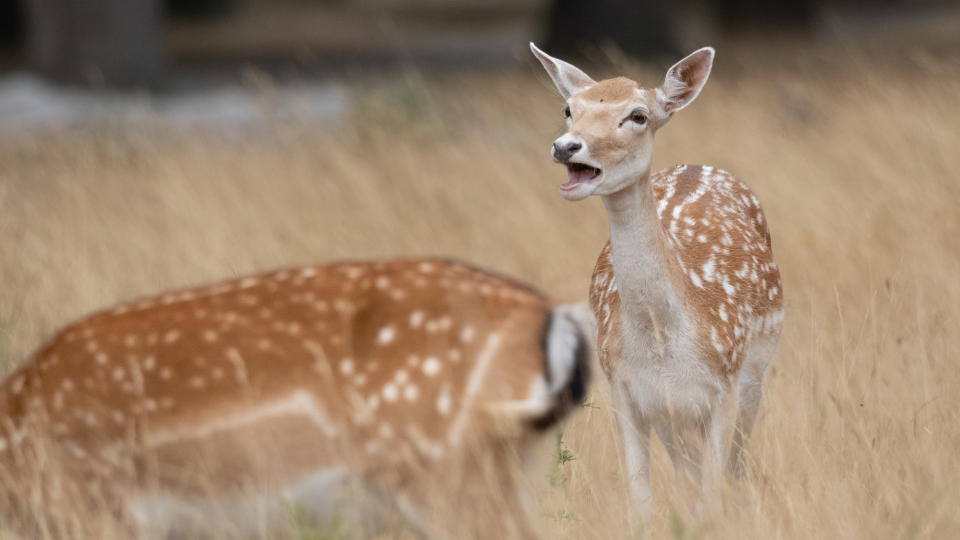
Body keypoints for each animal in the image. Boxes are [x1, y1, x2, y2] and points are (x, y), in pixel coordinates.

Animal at [528, 44, 784, 516]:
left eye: (637, 115)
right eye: (569, 109)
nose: (566, 146)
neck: (664, 345)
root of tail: (696, 166)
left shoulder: (723, 390)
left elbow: (713, 500)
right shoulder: (627, 393)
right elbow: (642, 504)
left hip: (756, 370)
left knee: (734, 464)